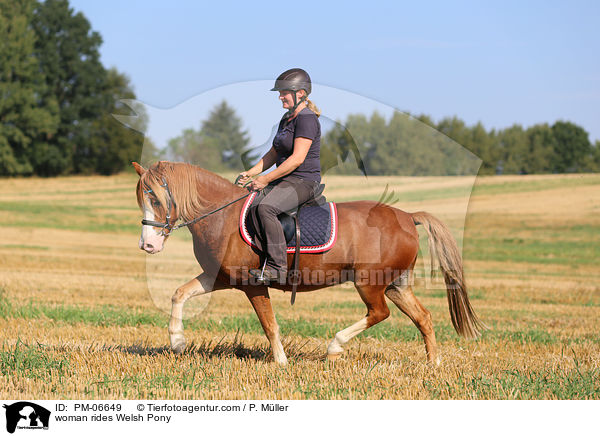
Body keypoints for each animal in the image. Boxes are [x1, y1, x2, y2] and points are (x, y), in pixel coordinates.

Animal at [134, 160, 486, 364]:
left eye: (157, 200)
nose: (147, 245)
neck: (224, 216)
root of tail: (407, 216)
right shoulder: (218, 277)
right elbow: (179, 294)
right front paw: (177, 342)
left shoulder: (253, 284)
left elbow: (269, 324)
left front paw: (280, 362)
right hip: (396, 285)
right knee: (423, 317)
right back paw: (433, 364)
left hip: (370, 283)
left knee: (379, 313)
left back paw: (335, 347)